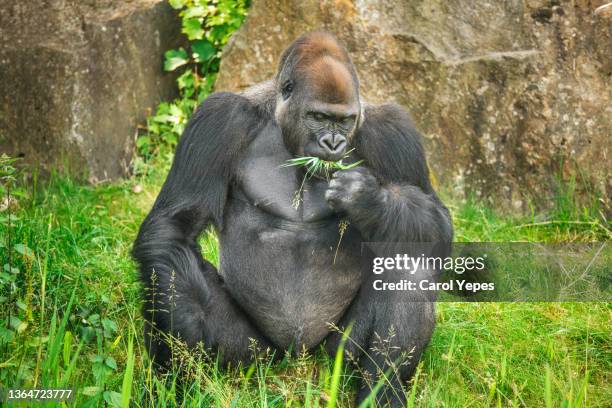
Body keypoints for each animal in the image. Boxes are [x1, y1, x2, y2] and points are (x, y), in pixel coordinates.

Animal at [135, 31, 454, 404]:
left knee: (409, 266)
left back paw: (382, 393)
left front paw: (370, 200)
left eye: (344, 120)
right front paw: (183, 332)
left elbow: (437, 225)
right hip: (254, 358)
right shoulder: (217, 120)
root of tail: (298, 365)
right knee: (170, 272)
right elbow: (175, 226)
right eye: (318, 116)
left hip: (333, 359)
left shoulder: (392, 130)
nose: (333, 143)